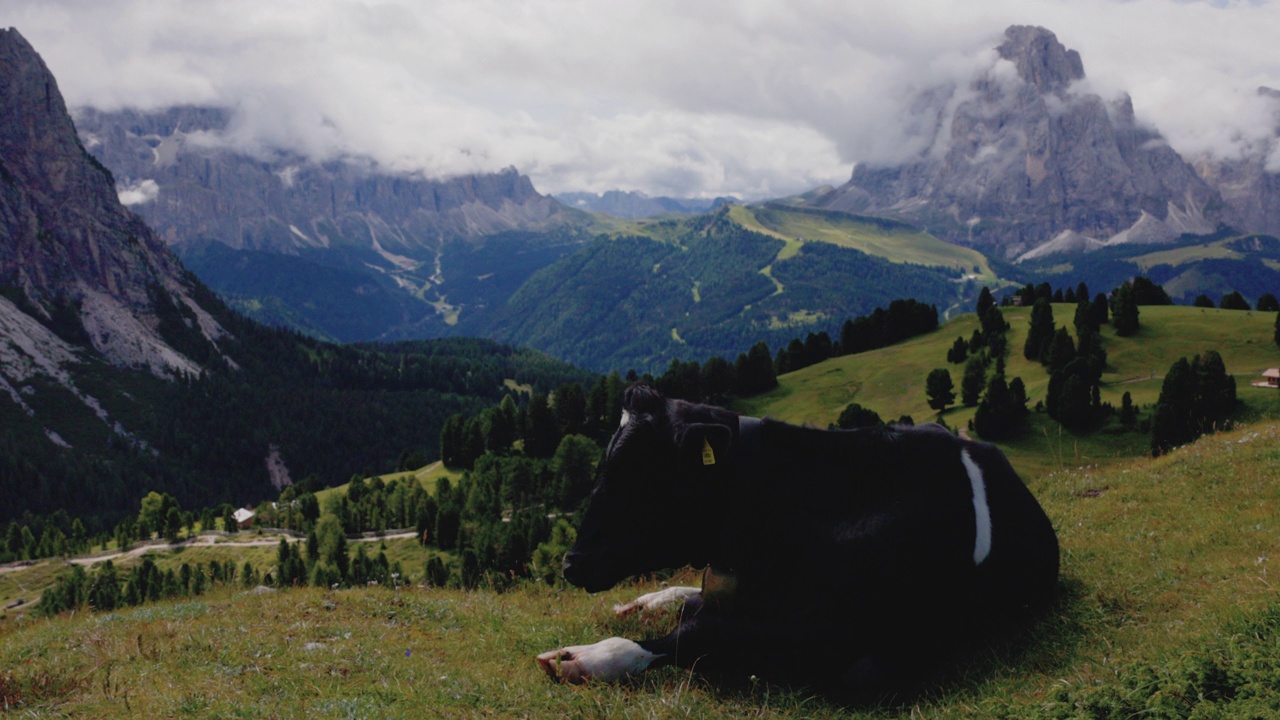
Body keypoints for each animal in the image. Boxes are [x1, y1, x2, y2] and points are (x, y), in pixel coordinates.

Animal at [537, 384, 1059, 691]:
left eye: (640, 474)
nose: (570, 562)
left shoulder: (838, 638)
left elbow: (698, 634)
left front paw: (582, 657)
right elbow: (698, 612)